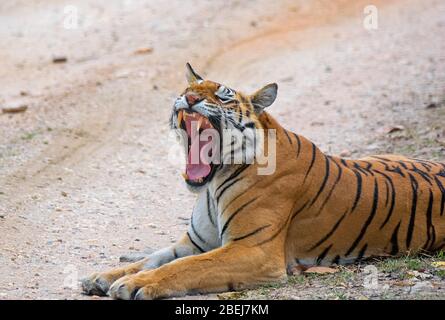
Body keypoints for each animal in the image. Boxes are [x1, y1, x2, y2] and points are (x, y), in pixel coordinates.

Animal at [80, 63, 444, 300]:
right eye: (188, 89)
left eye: (223, 97)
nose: (191, 99)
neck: (212, 185)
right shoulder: (193, 243)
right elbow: (153, 258)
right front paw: (103, 277)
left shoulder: (252, 250)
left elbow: (186, 267)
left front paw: (137, 284)